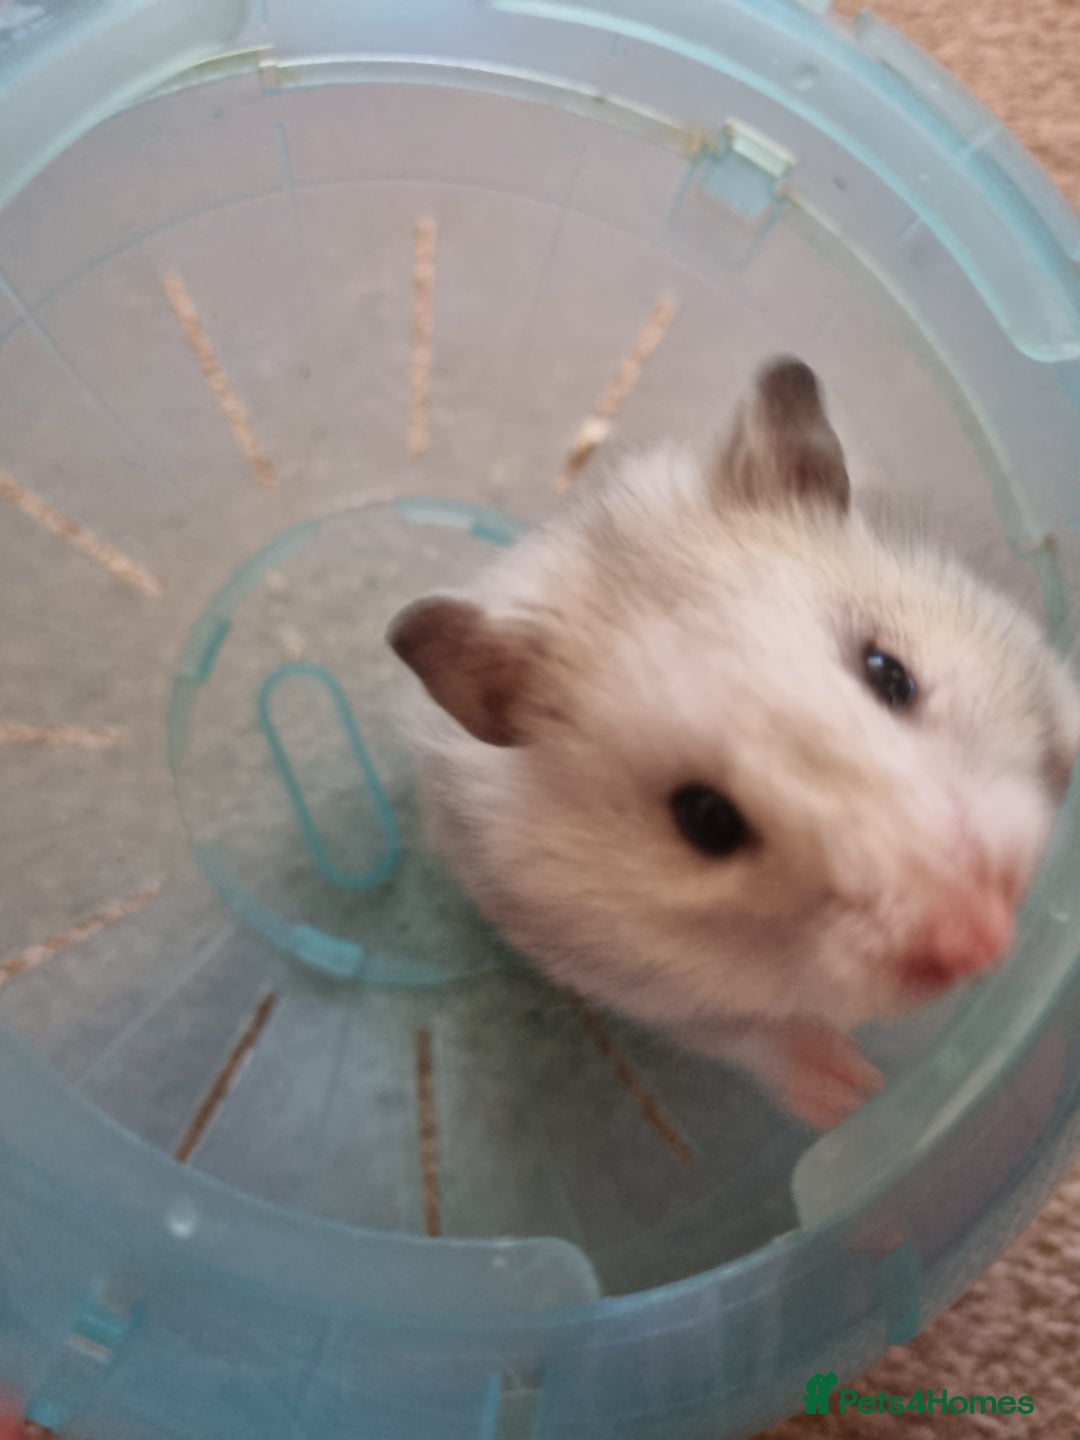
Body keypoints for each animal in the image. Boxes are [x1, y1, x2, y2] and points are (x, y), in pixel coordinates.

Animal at [387, 357, 1080, 1129]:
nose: (985, 940)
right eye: (705, 820)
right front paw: (853, 1093)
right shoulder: (642, 984)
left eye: (890, 673)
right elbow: (758, 1035)